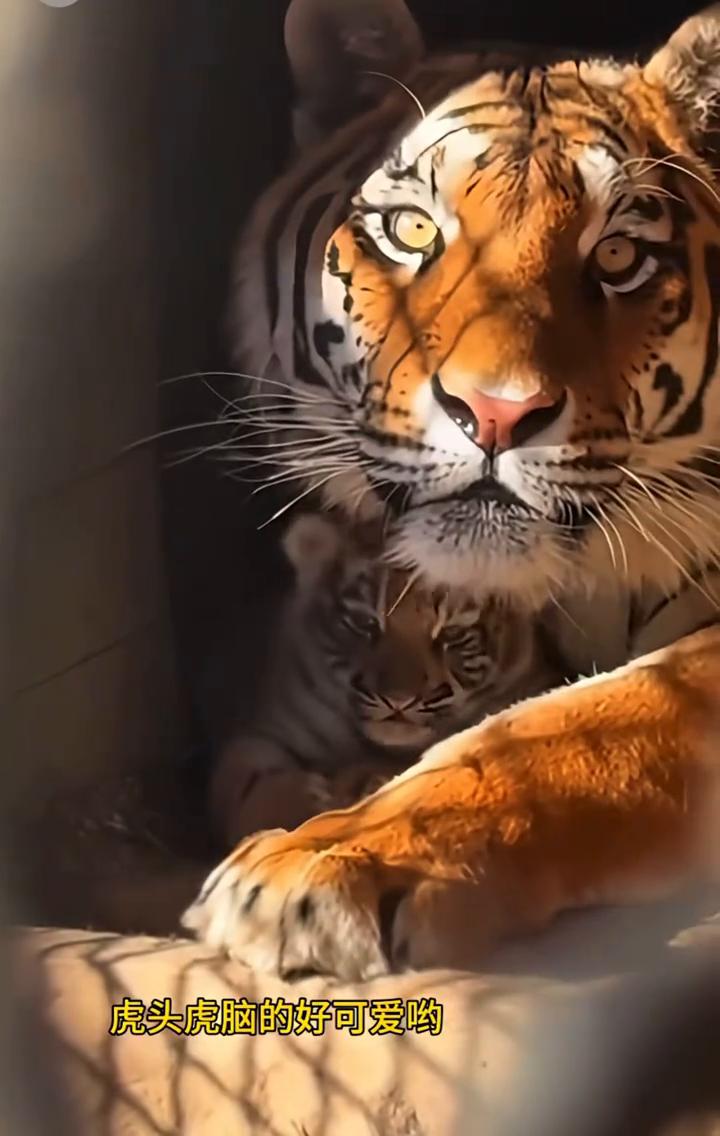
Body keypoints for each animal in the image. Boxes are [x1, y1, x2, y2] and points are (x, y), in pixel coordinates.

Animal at [210, 511, 561, 849]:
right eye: (366, 623)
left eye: (451, 634)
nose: (398, 700)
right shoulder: (262, 734)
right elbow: (250, 783)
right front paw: (300, 807)